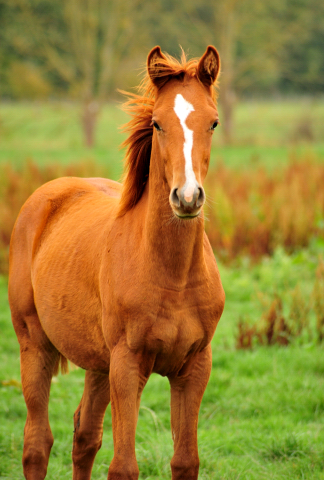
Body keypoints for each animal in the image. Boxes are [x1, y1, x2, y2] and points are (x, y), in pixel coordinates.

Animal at [8, 45, 225, 480]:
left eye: (213, 121)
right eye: (157, 124)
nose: (187, 197)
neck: (173, 276)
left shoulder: (195, 366)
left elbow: (185, 461)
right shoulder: (127, 364)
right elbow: (123, 467)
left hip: (98, 363)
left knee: (84, 437)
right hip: (35, 345)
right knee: (37, 444)